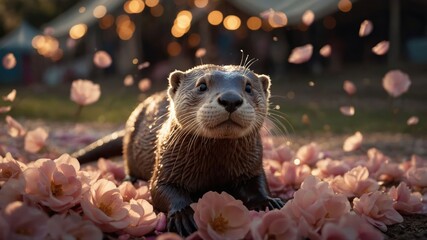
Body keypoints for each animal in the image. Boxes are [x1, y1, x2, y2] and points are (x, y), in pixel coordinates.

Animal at [74, 64, 284, 235]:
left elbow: (257, 183)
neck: (215, 168)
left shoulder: (253, 164)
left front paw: (269, 202)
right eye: (202, 86)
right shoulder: (167, 164)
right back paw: (129, 180)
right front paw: (184, 216)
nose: (230, 99)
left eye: (248, 87)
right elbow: (161, 189)